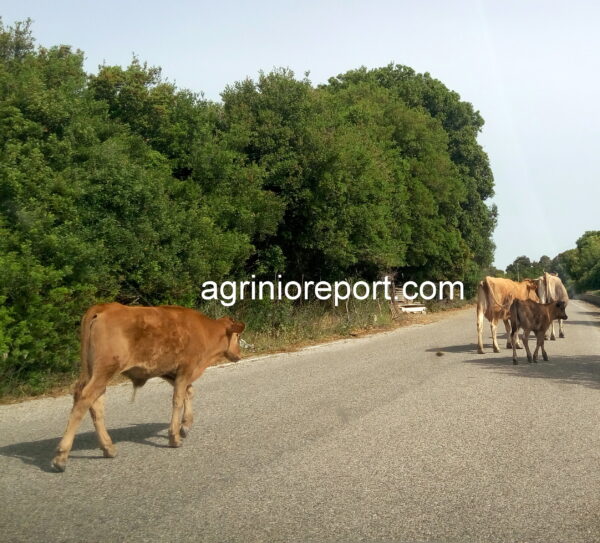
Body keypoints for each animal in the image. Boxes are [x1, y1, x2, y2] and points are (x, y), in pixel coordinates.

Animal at [51, 303, 245, 472]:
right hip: (105, 369)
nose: (239, 355)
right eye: (237, 337)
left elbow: (188, 392)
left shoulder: (170, 372)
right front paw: (174, 437)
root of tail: (103, 307)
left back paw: (108, 448)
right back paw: (61, 457)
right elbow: (178, 400)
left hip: (95, 372)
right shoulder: (186, 369)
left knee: (95, 403)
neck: (205, 331)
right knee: (85, 399)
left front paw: (185, 426)